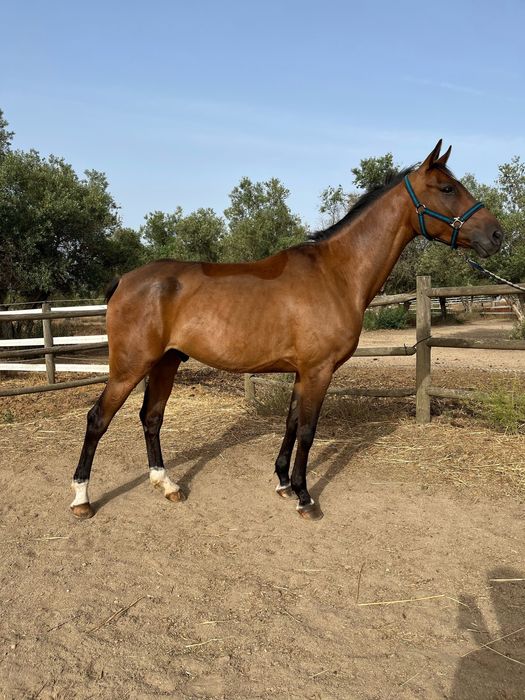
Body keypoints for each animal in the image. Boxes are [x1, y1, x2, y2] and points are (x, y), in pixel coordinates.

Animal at [70, 140, 503, 521]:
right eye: (447, 188)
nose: (497, 234)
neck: (335, 273)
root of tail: (126, 280)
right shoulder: (318, 371)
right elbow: (308, 431)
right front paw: (304, 497)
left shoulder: (301, 372)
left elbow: (292, 424)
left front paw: (282, 483)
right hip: (131, 367)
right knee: (97, 419)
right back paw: (81, 499)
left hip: (166, 362)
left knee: (152, 417)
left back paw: (167, 484)